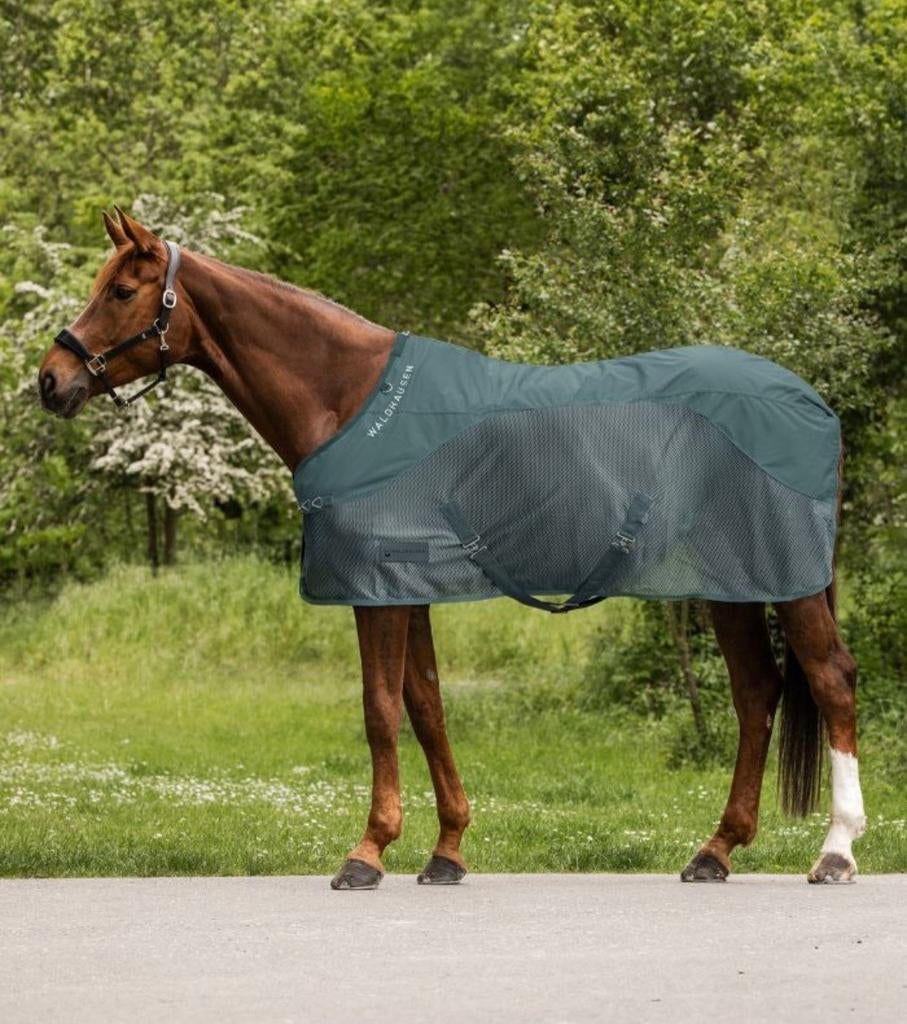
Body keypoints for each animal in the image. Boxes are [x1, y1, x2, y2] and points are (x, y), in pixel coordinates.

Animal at [37, 208, 866, 889]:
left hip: (785, 582)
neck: (350, 401)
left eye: (121, 292)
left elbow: (379, 709)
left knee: (829, 681)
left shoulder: (376, 588)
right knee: (756, 692)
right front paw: (446, 850)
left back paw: (835, 851)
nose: (51, 380)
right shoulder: (407, 589)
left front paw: (367, 852)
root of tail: (808, 400)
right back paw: (714, 851)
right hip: (728, 584)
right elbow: (426, 705)